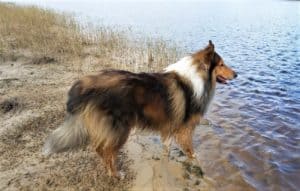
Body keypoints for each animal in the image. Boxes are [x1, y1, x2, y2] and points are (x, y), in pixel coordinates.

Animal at [43, 40, 238, 178]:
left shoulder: (169, 128)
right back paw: (115, 174)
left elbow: (166, 148)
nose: (237, 74)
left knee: (99, 148)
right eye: (221, 64)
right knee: (106, 150)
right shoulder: (184, 129)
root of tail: (84, 85)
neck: (198, 76)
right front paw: (199, 164)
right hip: (120, 130)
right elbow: (192, 153)